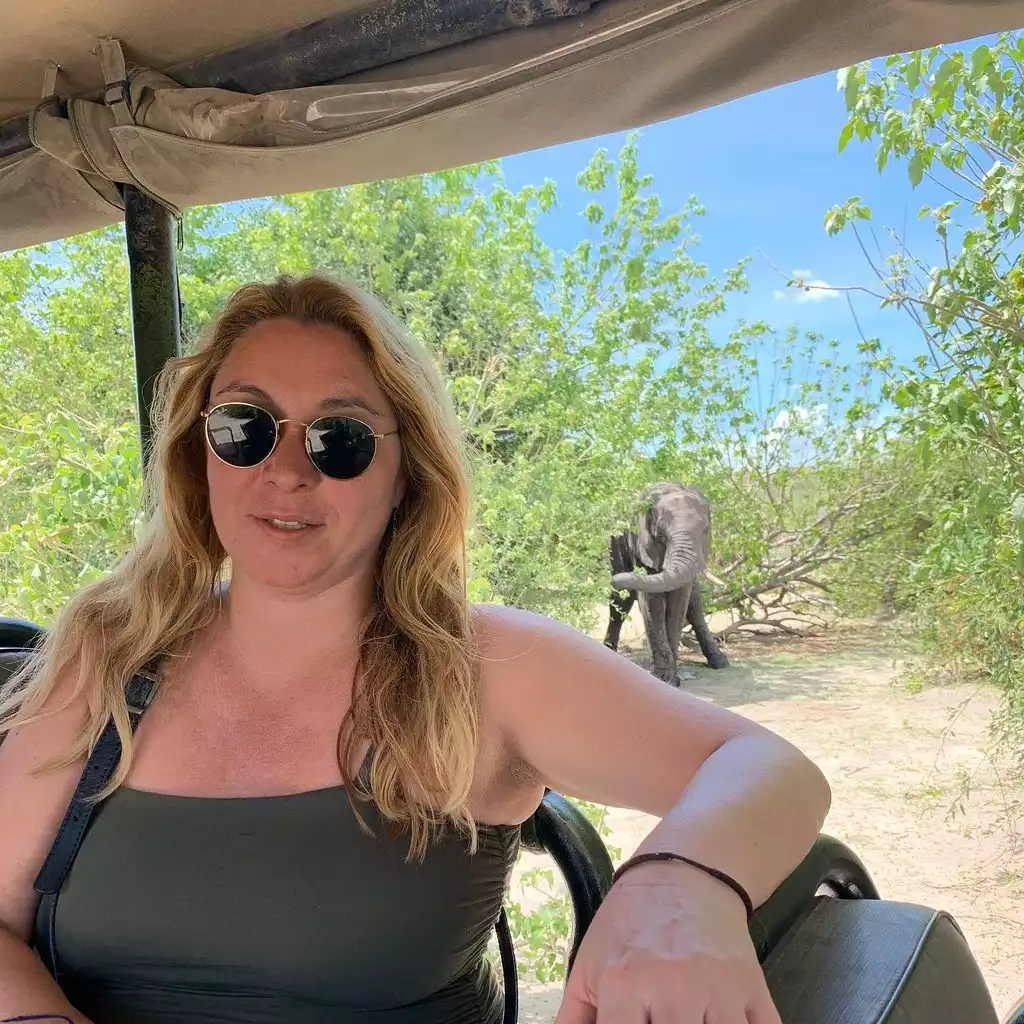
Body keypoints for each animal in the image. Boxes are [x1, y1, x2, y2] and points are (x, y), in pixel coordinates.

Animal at [602, 483, 729, 682]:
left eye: (705, 532)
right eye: (660, 538)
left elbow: (679, 603)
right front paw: (665, 678)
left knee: (695, 606)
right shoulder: (642, 546)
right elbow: (653, 603)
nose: (615, 581)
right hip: (615, 544)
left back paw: (720, 662)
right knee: (620, 604)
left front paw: (669, 678)